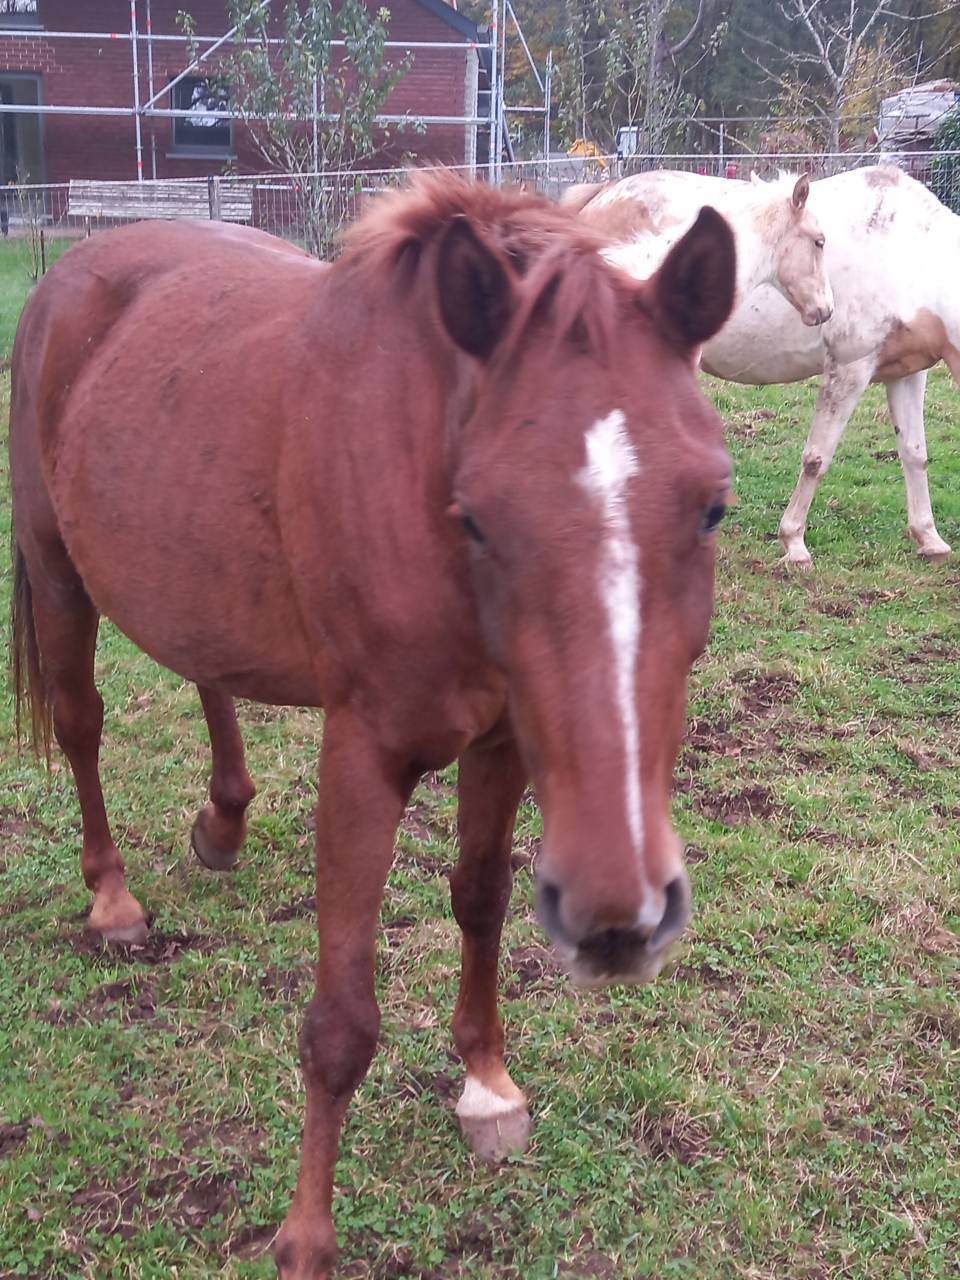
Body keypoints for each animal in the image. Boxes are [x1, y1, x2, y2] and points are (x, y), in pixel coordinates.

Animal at [9, 176, 737, 1278]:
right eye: (475, 515)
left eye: (712, 508)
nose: (618, 919)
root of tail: (74, 273)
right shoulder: (362, 756)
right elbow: (341, 1019)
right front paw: (306, 1237)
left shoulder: (505, 742)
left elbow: (480, 899)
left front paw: (487, 1082)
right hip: (58, 572)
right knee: (81, 725)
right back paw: (115, 899)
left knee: (206, 671)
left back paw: (222, 823)